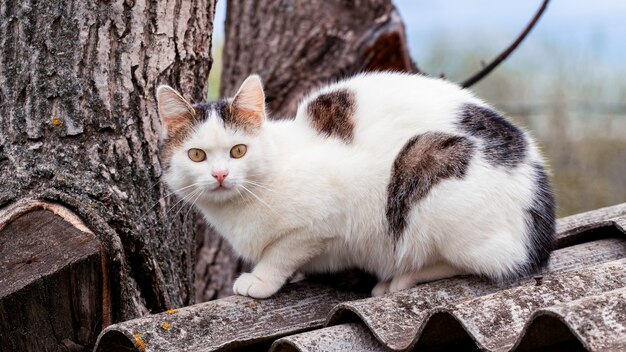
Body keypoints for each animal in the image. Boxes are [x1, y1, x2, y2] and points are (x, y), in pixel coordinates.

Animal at [155, 73, 552, 298]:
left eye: (238, 150)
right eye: (196, 155)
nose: (220, 175)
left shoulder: (321, 220)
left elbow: (282, 251)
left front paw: (261, 279)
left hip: (426, 167)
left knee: (487, 262)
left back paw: (402, 278)